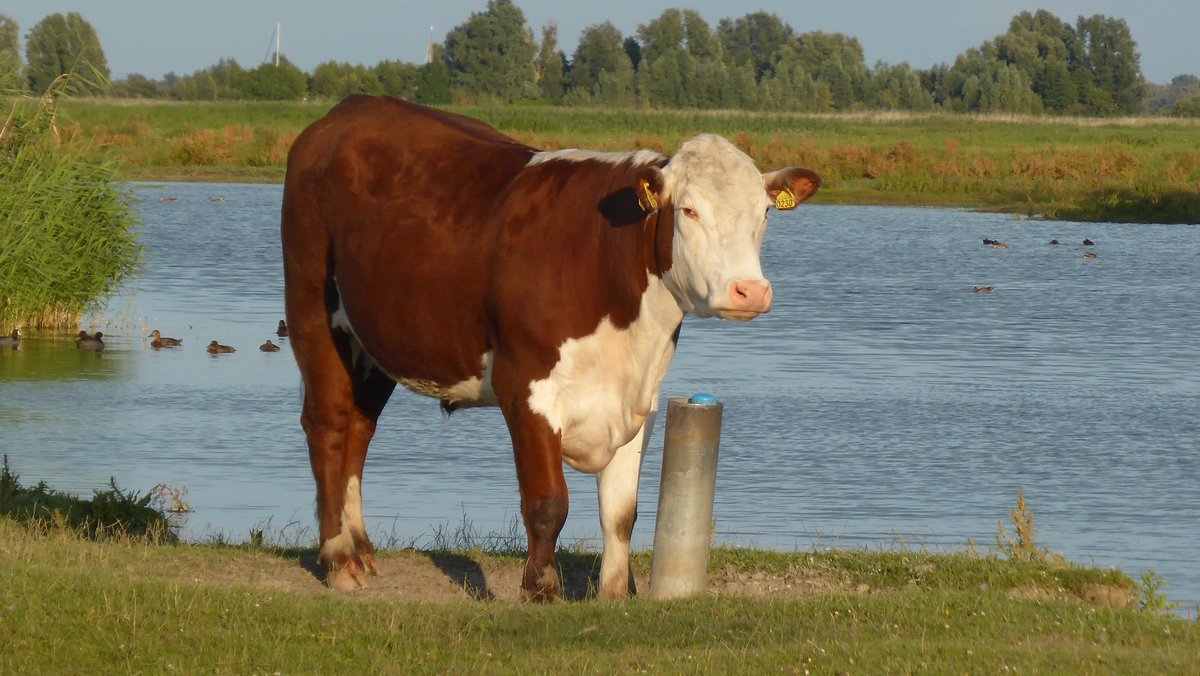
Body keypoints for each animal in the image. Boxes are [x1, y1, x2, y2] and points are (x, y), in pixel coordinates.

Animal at [280, 95, 820, 601]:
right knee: (327, 425)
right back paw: (338, 559)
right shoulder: (527, 386)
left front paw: (615, 593)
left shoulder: (638, 397)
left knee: (359, 428)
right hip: (313, 311)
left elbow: (621, 511)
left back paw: (362, 549)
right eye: (688, 210)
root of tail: (353, 108)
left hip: (373, 344)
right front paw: (541, 589)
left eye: (764, 213)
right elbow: (547, 502)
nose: (749, 291)